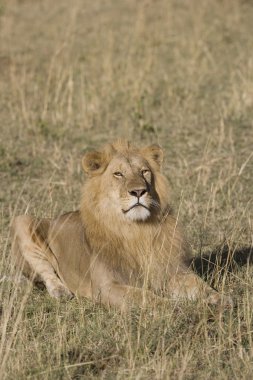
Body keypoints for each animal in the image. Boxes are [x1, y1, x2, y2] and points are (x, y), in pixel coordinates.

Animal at [11, 139, 229, 308]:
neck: (136, 230)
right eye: (118, 174)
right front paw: (175, 306)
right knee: (46, 272)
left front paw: (219, 299)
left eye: (144, 171)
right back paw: (60, 292)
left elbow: (198, 284)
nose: (139, 191)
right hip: (23, 220)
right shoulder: (107, 287)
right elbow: (146, 297)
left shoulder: (169, 270)